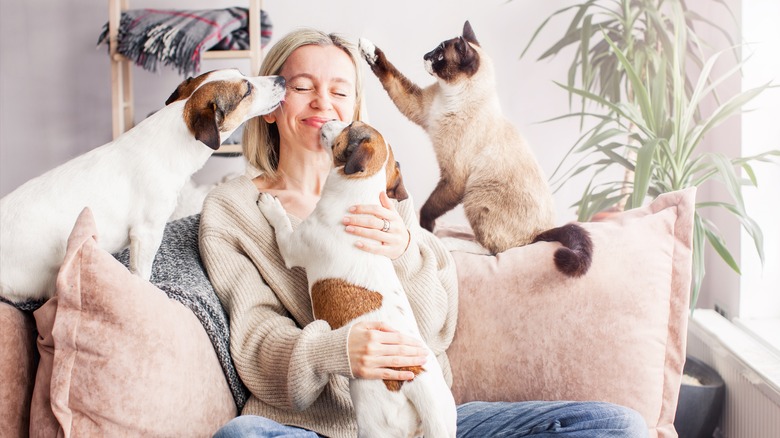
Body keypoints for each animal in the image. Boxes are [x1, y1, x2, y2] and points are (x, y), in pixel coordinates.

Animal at [258, 120, 458, 438]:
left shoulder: (291, 246)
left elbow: (281, 225)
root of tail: (416, 378)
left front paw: (272, 207)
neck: (358, 194)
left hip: (375, 422)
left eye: (350, 125)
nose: (329, 119)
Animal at [360, 21, 592, 278]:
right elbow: (390, 75)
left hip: (476, 195)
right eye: (434, 50)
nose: (425, 56)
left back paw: (449, 242)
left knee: (495, 250)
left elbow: (428, 209)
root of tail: (542, 232)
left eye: (439, 55)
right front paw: (367, 48)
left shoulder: (453, 178)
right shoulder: (417, 107)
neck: (449, 97)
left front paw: (427, 231)